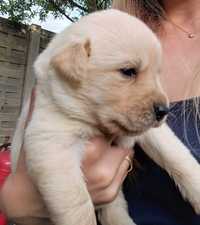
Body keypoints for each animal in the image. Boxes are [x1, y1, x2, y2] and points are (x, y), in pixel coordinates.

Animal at [11, 9, 200, 225]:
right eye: (128, 71)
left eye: (157, 74)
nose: (164, 111)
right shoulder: (52, 144)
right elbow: (77, 205)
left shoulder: (150, 133)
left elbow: (177, 156)